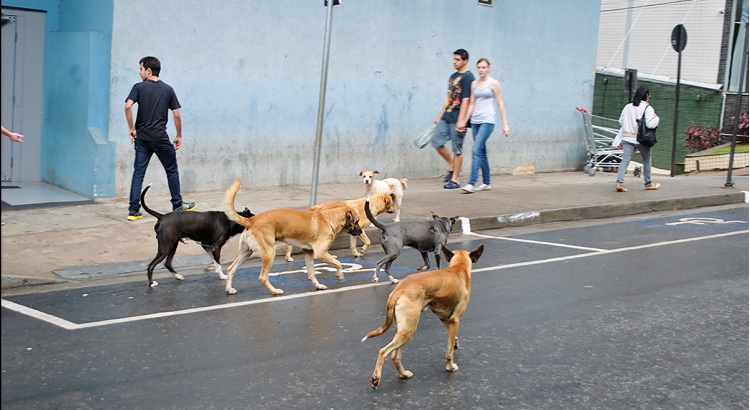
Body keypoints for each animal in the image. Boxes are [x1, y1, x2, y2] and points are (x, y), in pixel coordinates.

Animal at [225, 178, 362, 296]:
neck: (330, 219)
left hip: (245, 253)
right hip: (269, 253)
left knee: (230, 269)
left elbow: (312, 273)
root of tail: (251, 220)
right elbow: (338, 263)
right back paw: (275, 291)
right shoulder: (320, 253)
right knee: (263, 277)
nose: (361, 232)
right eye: (357, 221)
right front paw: (340, 275)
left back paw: (229, 289)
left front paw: (318, 285)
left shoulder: (309, 253)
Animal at [362, 245, 488, 390]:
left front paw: (455, 342)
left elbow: (452, 339)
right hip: (408, 330)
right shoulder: (455, 320)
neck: (458, 267)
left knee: (395, 356)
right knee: (383, 351)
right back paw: (376, 378)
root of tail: (399, 289)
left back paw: (404, 374)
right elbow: (449, 351)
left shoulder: (446, 319)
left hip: (403, 330)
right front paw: (450, 367)